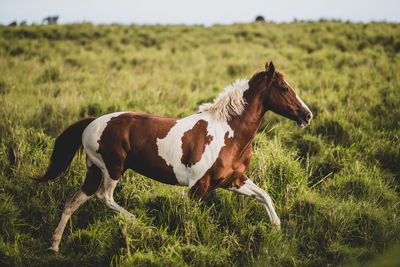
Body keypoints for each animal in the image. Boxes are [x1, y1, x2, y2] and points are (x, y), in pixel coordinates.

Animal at [36, 61, 312, 252]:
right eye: (284, 88)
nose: (307, 115)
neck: (228, 132)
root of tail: (92, 122)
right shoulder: (198, 187)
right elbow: (190, 220)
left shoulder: (234, 181)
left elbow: (265, 196)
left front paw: (276, 231)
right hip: (112, 168)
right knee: (104, 196)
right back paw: (135, 221)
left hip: (94, 170)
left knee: (73, 201)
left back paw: (54, 245)